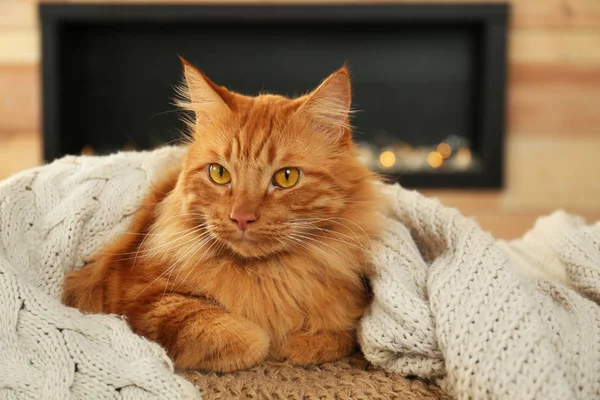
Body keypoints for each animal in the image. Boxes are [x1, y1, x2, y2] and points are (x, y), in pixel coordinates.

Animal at [63, 59, 382, 372]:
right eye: (219, 173)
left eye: (287, 177)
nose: (241, 218)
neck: (268, 276)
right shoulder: (139, 300)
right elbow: (249, 339)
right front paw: (273, 344)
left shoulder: (348, 309)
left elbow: (337, 337)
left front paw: (296, 345)